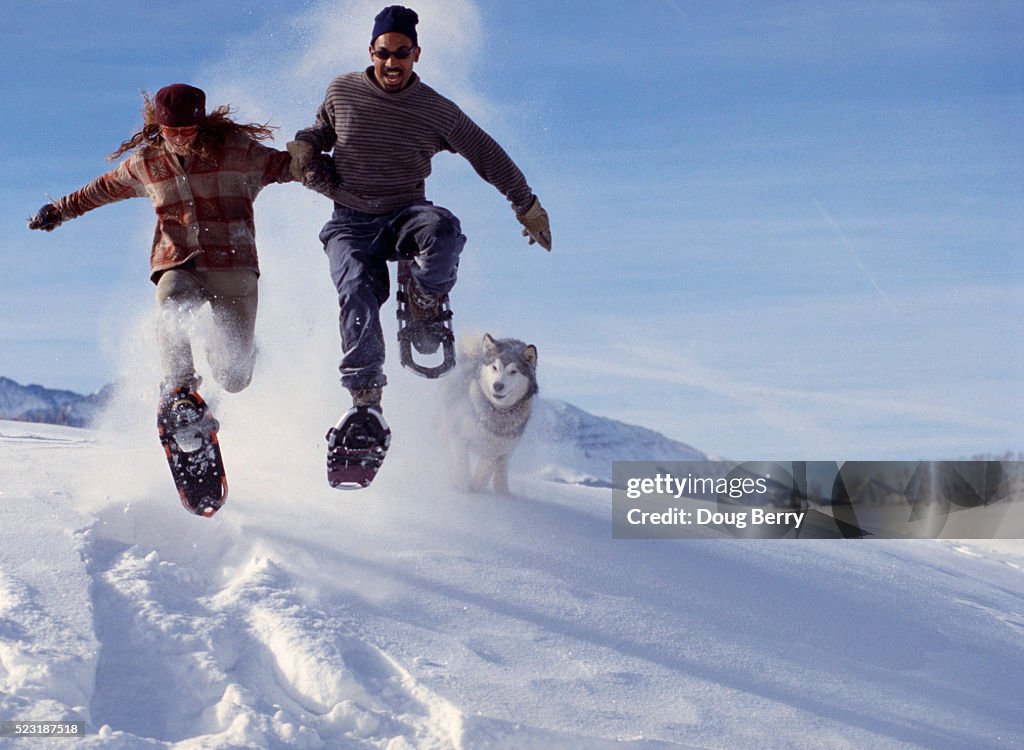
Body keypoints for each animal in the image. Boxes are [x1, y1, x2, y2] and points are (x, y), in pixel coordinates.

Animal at [442, 331, 540, 495]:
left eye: (513, 371)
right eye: (495, 367)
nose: (498, 386)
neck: (497, 412)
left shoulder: (496, 451)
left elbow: (486, 470)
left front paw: (475, 487)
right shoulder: (457, 435)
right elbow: (461, 464)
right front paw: (463, 487)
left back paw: (504, 493)